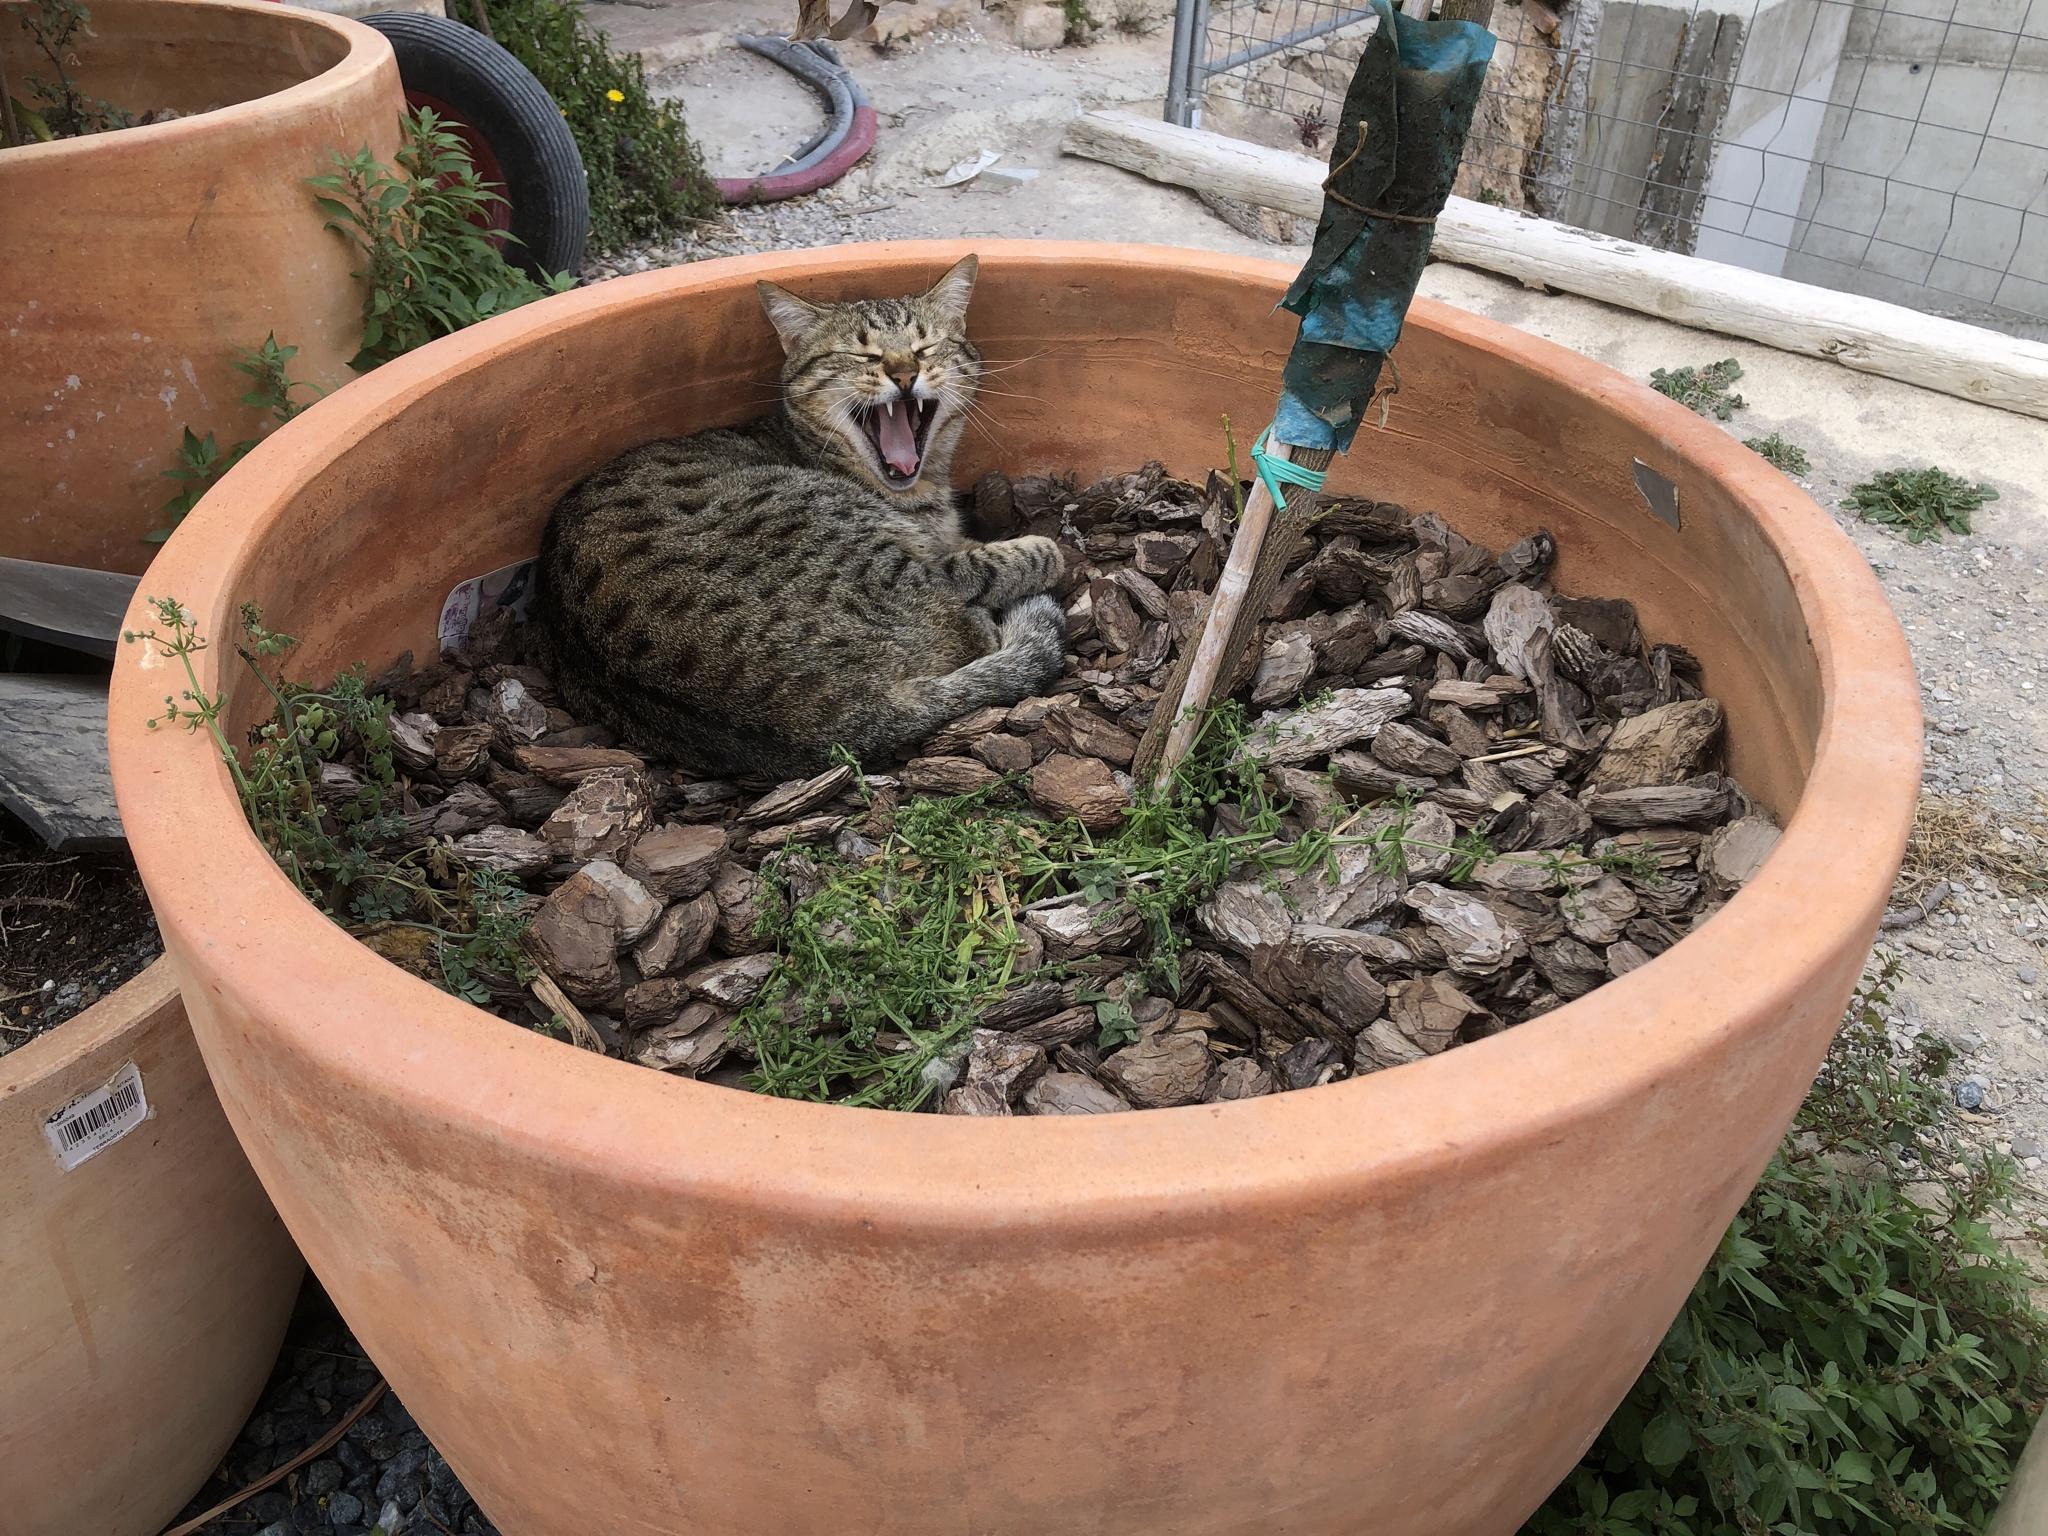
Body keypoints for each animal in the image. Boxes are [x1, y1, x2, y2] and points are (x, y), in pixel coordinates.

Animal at [536, 259, 1064, 782]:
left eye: (924, 346)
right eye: (862, 354)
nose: (904, 373)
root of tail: (841, 719)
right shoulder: (926, 555)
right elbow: (986, 566)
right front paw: (1040, 550)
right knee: (967, 619)